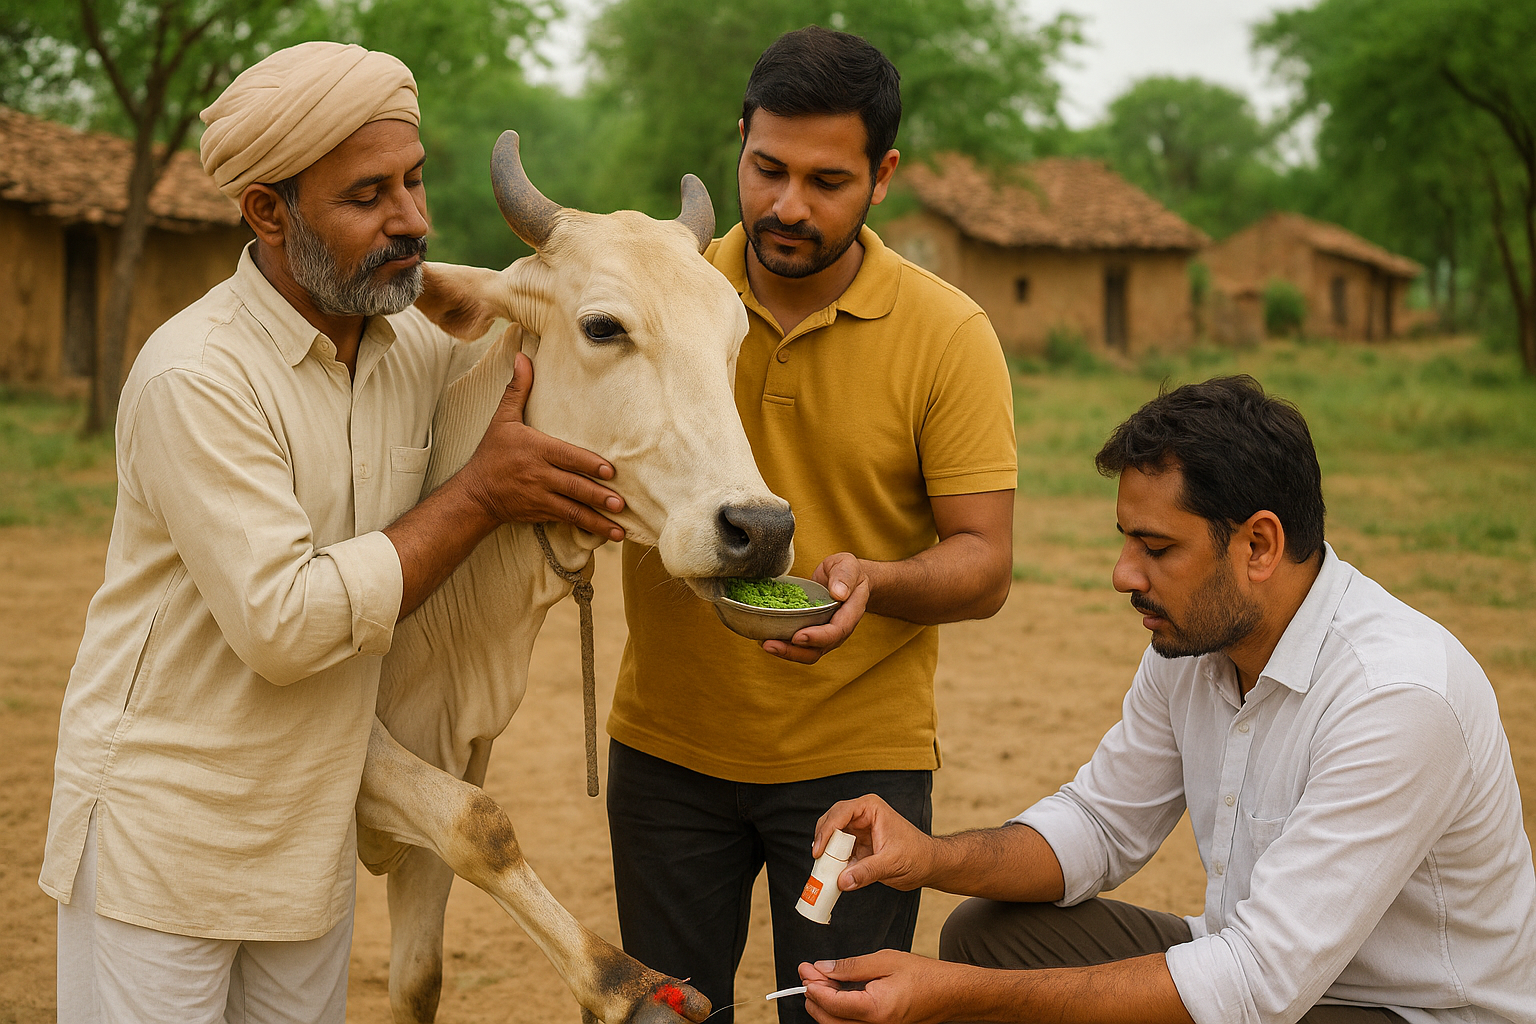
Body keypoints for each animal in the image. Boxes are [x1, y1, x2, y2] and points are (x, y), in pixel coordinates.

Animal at [351, 131, 796, 1024]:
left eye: (734, 338)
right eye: (603, 326)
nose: (760, 529)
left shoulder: (444, 769)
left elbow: (419, 978)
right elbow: (483, 825)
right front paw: (628, 983)